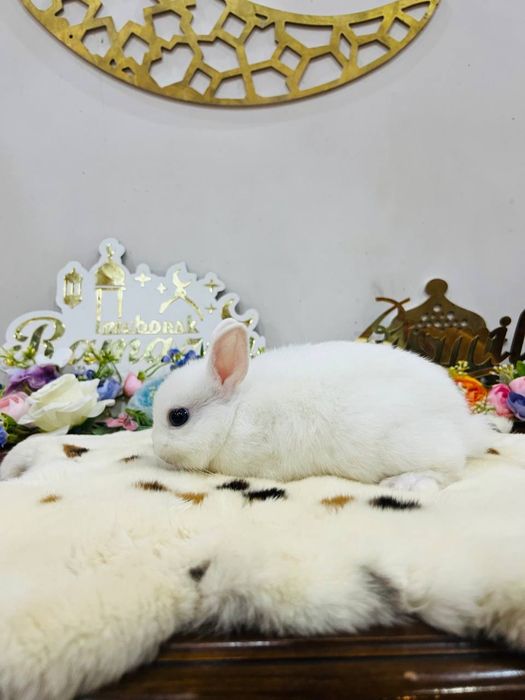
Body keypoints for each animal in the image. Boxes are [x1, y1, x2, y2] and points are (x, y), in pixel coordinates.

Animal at [152, 319, 497, 490]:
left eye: (178, 417)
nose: (157, 449)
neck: (235, 410)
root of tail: (463, 424)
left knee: (449, 471)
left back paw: (403, 483)